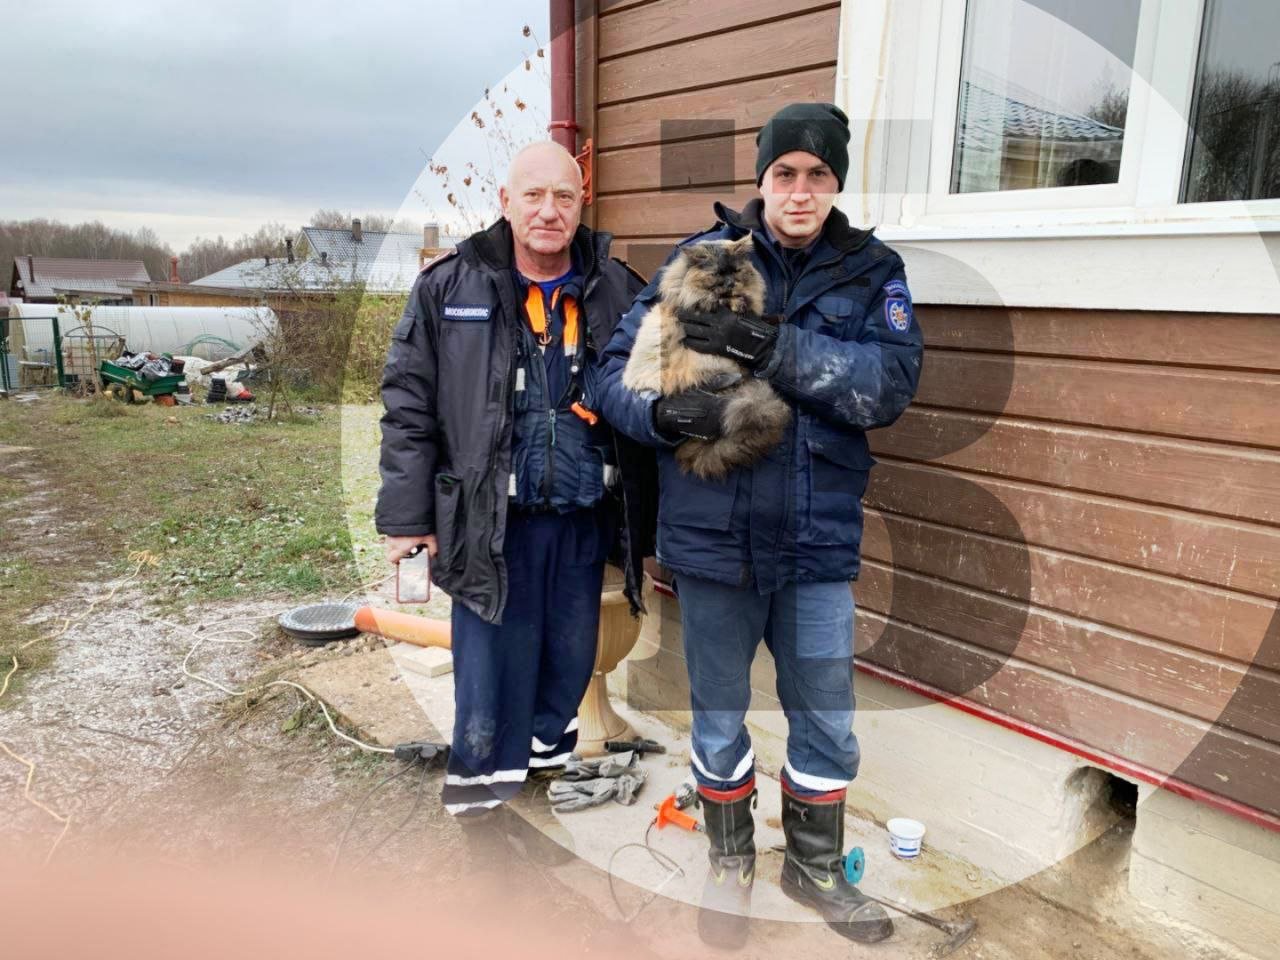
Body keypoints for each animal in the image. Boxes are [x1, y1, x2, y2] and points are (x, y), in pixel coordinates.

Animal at [622, 236, 788, 481]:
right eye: (717, 273)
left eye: (736, 271)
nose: (730, 283)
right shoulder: (696, 303)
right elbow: (717, 300)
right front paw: (734, 302)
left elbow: (759, 314)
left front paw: (767, 319)